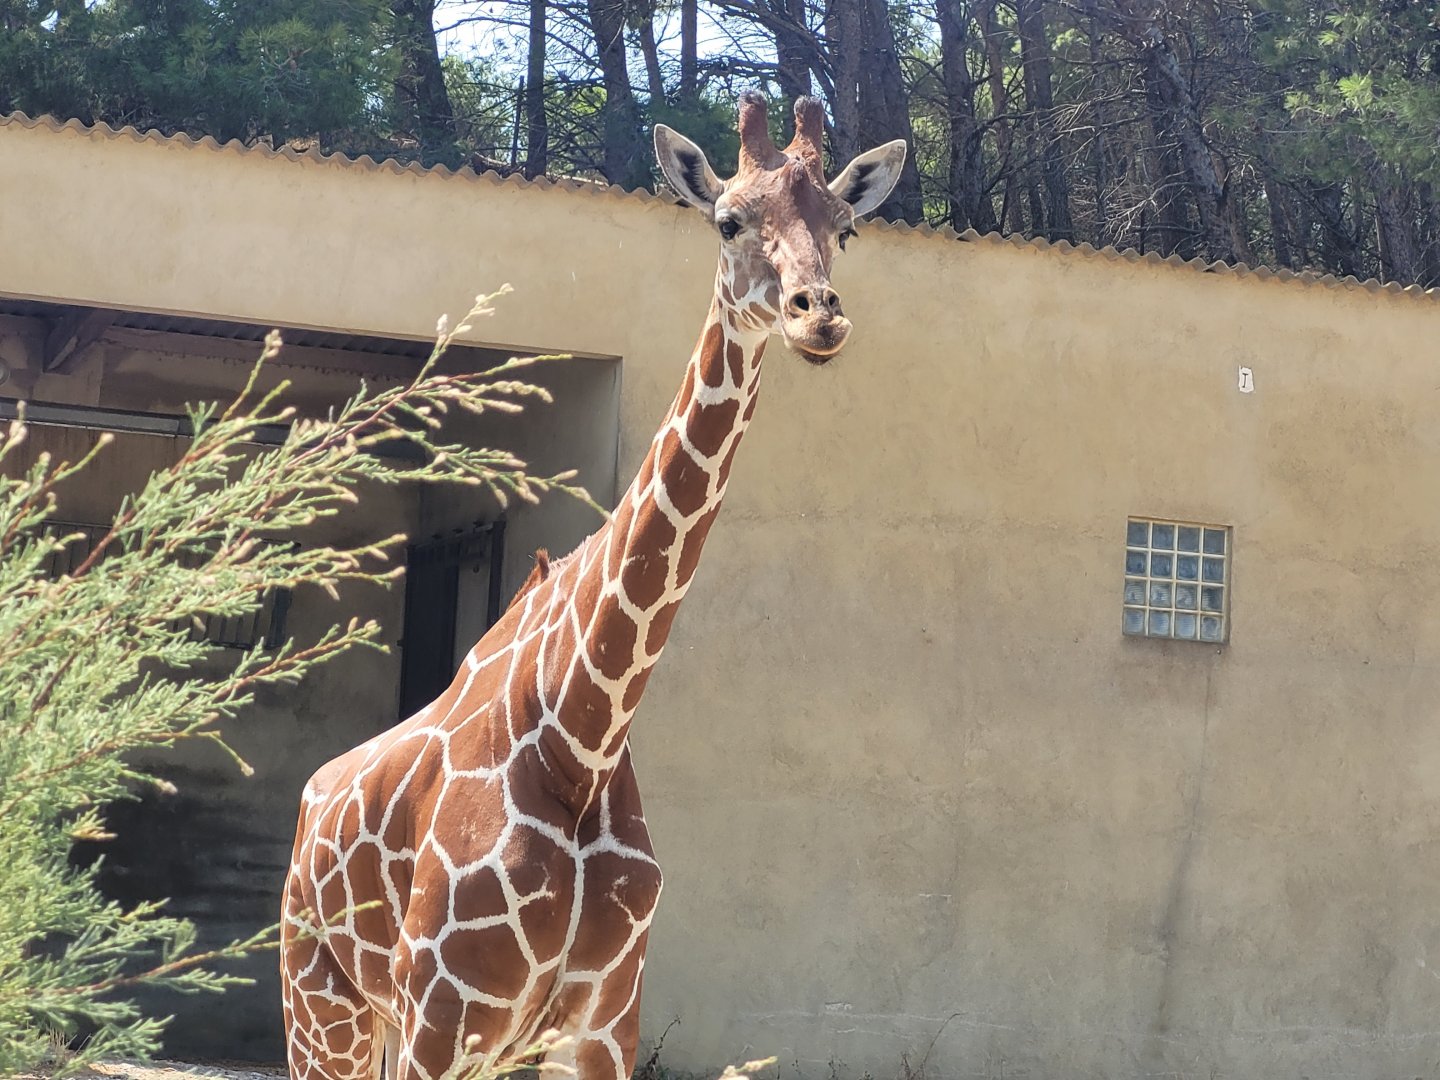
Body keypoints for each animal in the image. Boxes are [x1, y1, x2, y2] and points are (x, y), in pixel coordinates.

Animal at [279, 92, 906, 1080]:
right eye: (728, 221)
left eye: (845, 228)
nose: (819, 317)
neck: (579, 741)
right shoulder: (442, 1016)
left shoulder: (602, 1024)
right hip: (325, 1010)